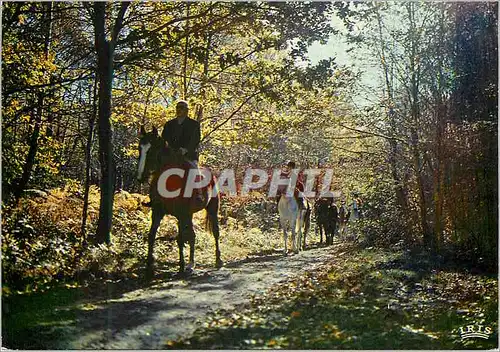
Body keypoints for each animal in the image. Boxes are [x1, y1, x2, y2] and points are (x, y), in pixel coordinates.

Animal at [137, 127, 223, 278]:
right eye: (139, 148)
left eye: (151, 150)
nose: (140, 177)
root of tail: (212, 175)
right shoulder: (158, 212)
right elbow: (152, 236)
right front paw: (149, 268)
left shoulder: (181, 214)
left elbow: (180, 238)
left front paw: (181, 267)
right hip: (189, 215)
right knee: (192, 236)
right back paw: (191, 264)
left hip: (212, 209)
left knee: (215, 232)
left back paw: (217, 260)